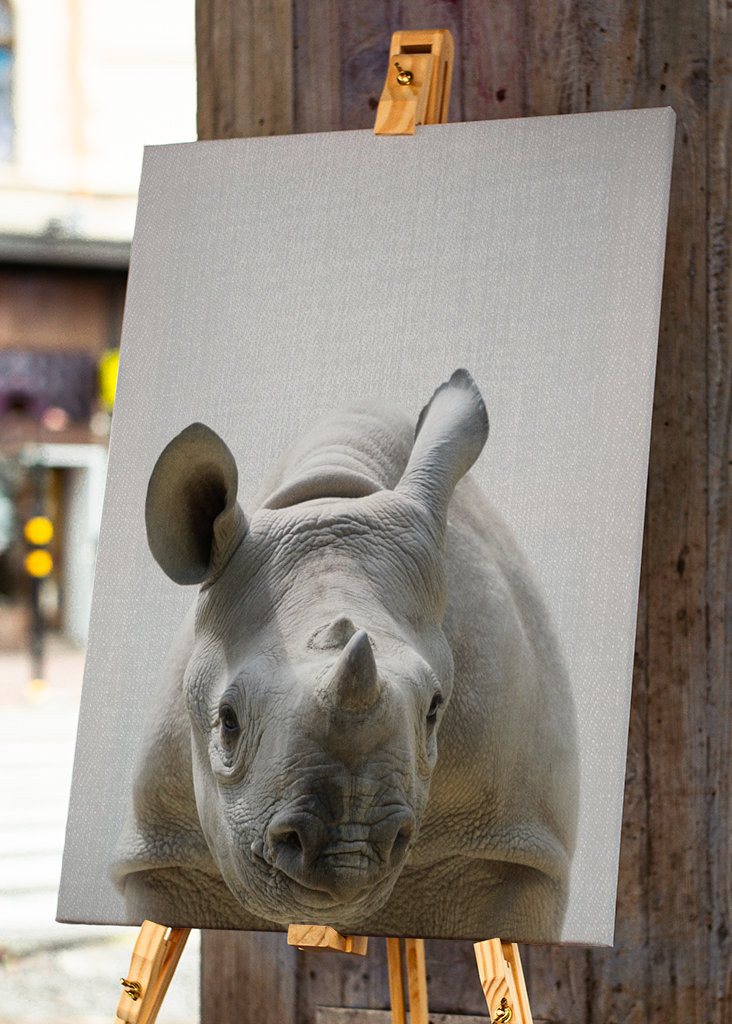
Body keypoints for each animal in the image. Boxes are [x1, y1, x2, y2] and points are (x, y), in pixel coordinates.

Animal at [112, 369, 578, 941]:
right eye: (227, 720)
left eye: (435, 710)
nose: (347, 852)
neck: (331, 499)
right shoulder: (164, 855)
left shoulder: (516, 847)